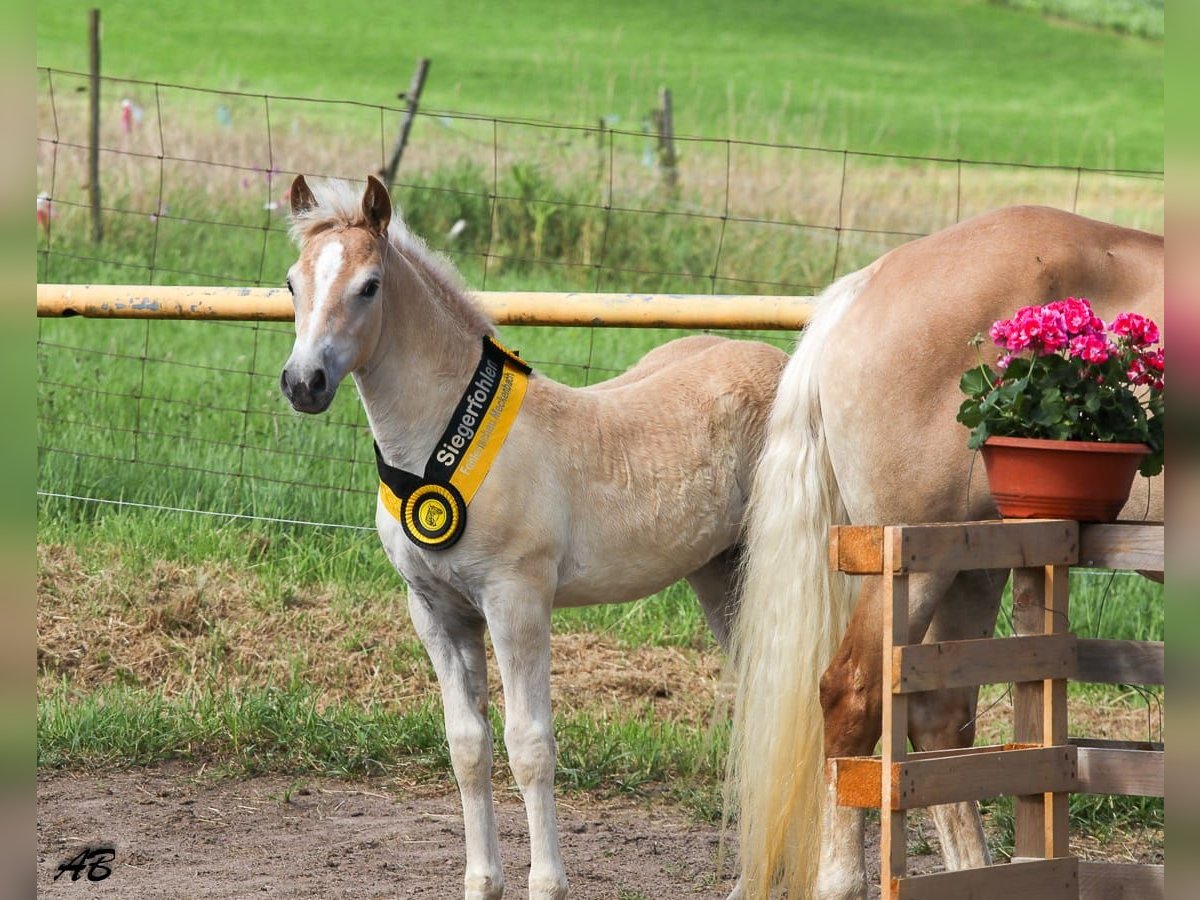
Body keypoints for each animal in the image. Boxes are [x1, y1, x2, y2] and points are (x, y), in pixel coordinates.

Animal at [279, 172, 787, 897]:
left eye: (369, 286)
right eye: (292, 283)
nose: (304, 383)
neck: (440, 443)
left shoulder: (516, 600)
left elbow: (530, 747)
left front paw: (547, 882)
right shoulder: (436, 611)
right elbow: (468, 746)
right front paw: (481, 883)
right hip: (721, 574)